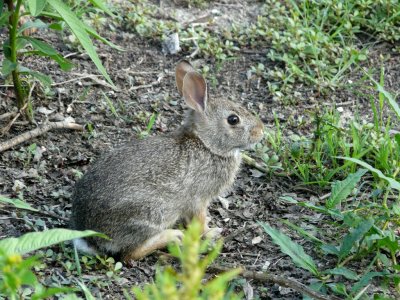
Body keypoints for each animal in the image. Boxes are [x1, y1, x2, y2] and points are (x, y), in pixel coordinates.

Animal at [71, 59, 266, 262]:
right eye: (233, 119)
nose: (261, 131)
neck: (206, 144)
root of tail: (91, 237)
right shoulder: (199, 199)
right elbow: (200, 222)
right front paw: (211, 232)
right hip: (151, 214)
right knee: (130, 254)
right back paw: (172, 236)